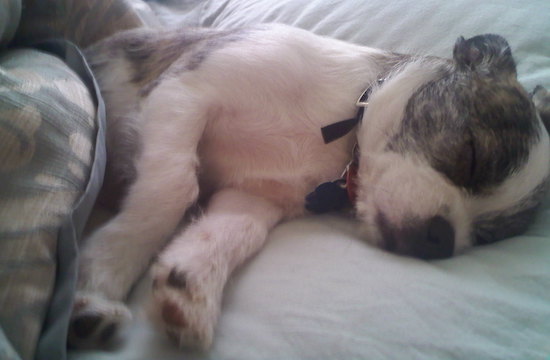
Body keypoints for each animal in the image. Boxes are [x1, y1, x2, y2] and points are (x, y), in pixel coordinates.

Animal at [69, 23, 550, 350]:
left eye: (488, 235)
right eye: (470, 154)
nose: (440, 239)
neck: (338, 131)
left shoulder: (255, 196)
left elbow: (231, 234)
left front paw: (190, 289)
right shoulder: (183, 92)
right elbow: (172, 190)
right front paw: (96, 284)